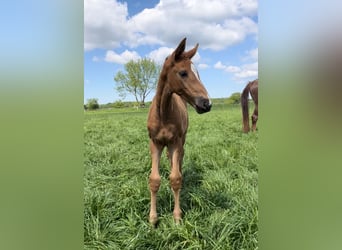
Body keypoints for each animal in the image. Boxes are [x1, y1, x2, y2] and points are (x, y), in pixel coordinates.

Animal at [147, 38, 211, 226]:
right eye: (183, 73)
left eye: (198, 74)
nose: (207, 104)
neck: (163, 113)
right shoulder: (155, 143)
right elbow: (154, 179)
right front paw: (153, 219)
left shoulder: (175, 142)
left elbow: (175, 179)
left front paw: (177, 217)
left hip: (181, 140)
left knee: (179, 160)